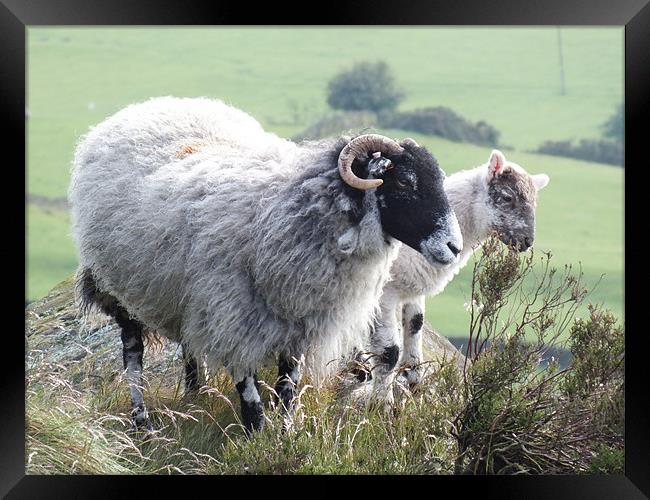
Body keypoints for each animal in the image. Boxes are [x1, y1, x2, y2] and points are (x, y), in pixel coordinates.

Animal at [68, 95, 464, 432]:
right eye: (405, 182)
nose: (454, 247)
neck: (283, 210)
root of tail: (146, 105)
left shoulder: (298, 323)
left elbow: (288, 388)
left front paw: (285, 434)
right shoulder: (234, 319)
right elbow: (251, 398)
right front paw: (257, 440)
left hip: (186, 300)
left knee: (190, 349)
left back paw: (195, 397)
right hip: (119, 289)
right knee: (132, 357)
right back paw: (143, 423)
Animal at [352, 146, 548, 402]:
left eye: (535, 203)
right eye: (507, 197)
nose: (527, 242)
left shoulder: (413, 287)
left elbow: (415, 324)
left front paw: (413, 378)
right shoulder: (384, 293)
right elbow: (389, 352)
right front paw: (381, 402)